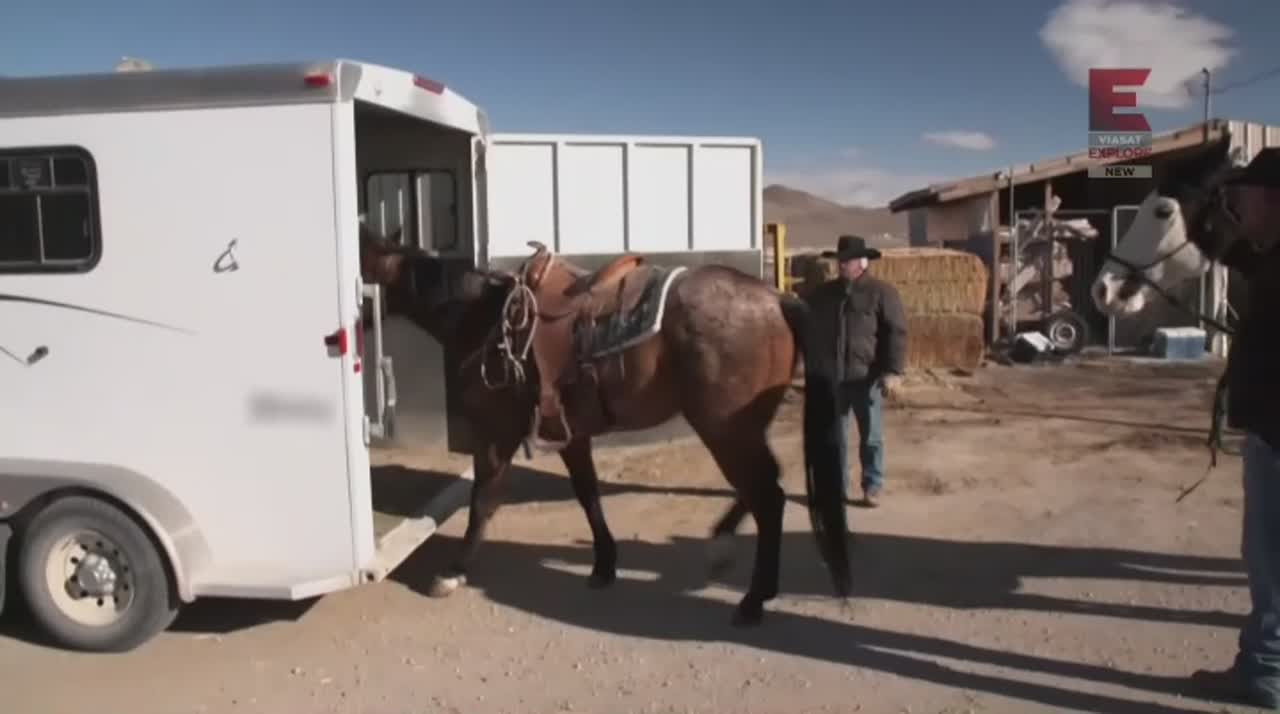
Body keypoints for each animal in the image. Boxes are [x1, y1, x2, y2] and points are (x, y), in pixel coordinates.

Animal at [358, 233, 853, 625]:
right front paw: (604, 564)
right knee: (763, 487)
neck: (483, 319)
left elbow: (483, 501)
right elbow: (588, 494)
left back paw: (751, 598)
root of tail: (776, 298)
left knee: (767, 496)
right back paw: (724, 548)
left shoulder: (497, 433)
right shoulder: (570, 434)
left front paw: (454, 571)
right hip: (741, 428)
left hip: (724, 429)